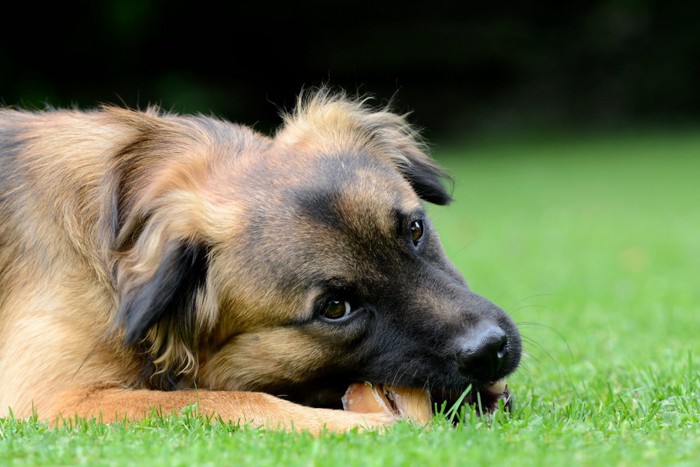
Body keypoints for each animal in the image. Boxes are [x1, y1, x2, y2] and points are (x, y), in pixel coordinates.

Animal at [0, 88, 520, 436]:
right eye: (335, 308)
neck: (119, 226)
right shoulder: (58, 399)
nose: (491, 348)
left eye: (414, 231)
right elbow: (234, 402)